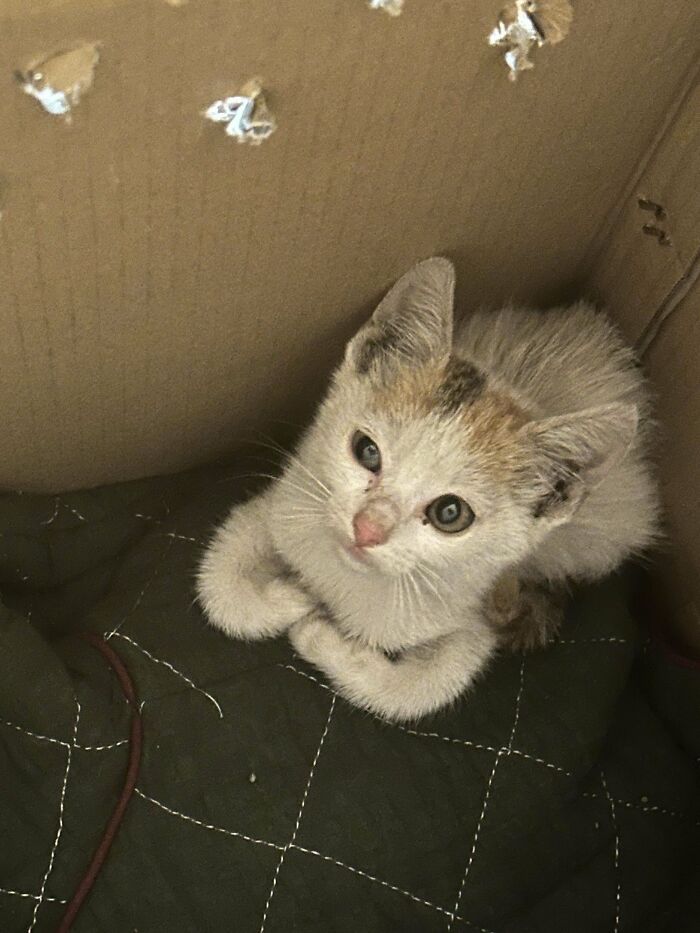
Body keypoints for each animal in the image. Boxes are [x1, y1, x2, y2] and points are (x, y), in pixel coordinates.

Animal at [197, 256, 656, 720]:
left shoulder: (471, 616)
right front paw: (294, 596)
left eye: (450, 513)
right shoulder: (289, 499)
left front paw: (317, 632)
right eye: (366, 450)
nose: (367, 529)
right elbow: (217, 586)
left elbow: (423, 689)